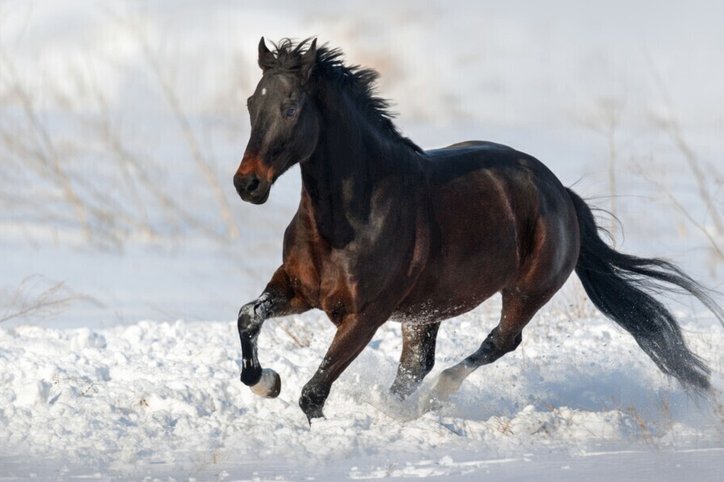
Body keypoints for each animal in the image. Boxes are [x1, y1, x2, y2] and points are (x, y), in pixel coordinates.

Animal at [232, 37, 723, 423]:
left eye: (291, 107)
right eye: (252, 104)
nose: (247, 183)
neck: (347, 221)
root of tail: (560, 192)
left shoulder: (365, 316)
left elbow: (314, 393)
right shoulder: (297, 289)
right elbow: (248, 316)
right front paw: (267, 382)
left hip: (525, 293)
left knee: (497, 342)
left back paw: (437, 398)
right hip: (424, 313)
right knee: (416, 366)